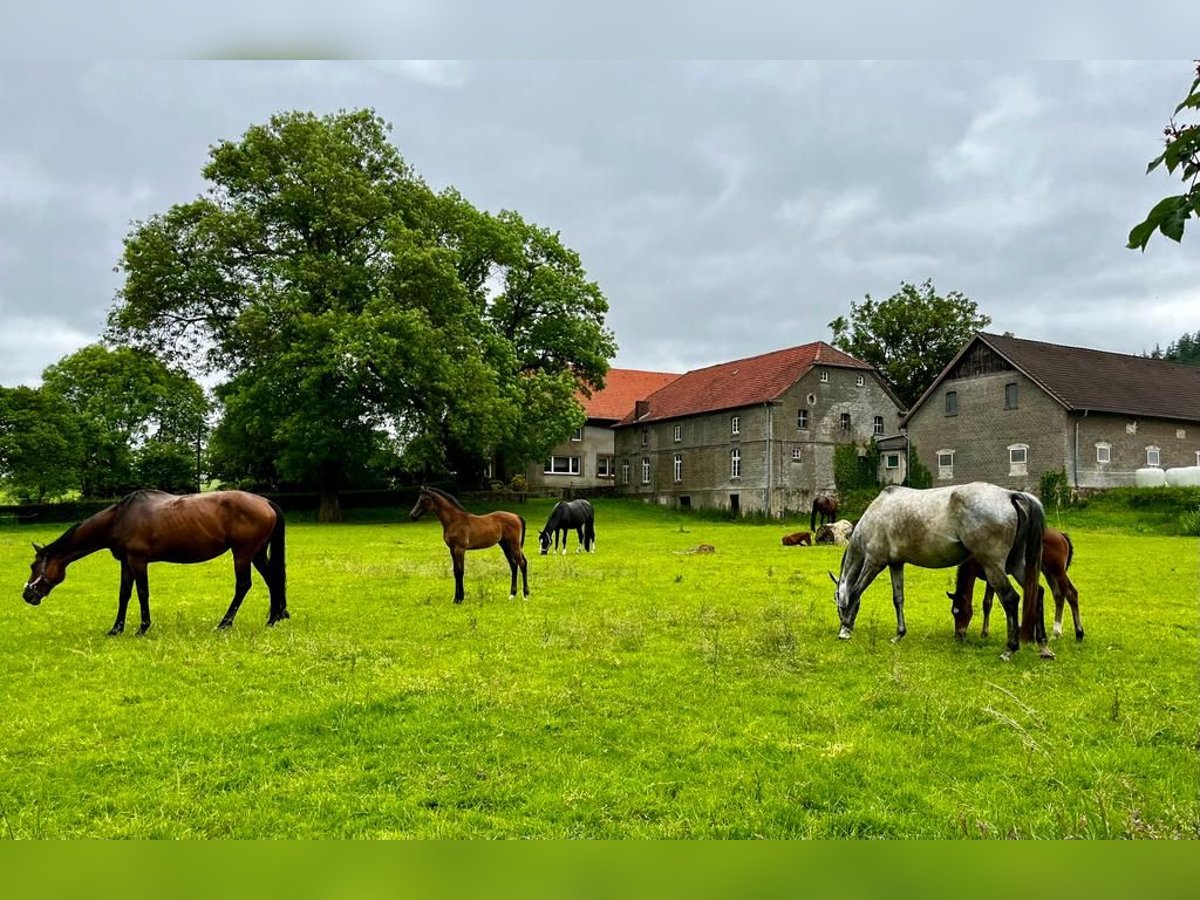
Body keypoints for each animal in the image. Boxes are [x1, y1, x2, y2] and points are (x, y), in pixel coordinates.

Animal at [22, 494, 288, 633]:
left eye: (34, 567)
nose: (27, 595)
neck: (119, 519)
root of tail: (266, 502)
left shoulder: (138, 561)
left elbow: (142, 592)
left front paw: (143, 627)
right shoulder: (126, 563)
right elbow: (124, 594)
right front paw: (116, 629)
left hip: (242, 554)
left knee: (243, 585)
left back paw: (224, 624)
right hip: (256, 553)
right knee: (273, 579)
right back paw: (273, 619)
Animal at [830, 487, 1046, 662]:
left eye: (837, 602)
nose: (842, 621)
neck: (876, 514)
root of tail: (1009, 495)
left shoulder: (874, 563)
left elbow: (856, 591)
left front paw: (845, 630)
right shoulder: (896, 564)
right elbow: (898, 599)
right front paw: (899, 634)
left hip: (993, 566)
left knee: (1010, 599)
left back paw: (1010, 650)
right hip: (1015, 565)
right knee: (1038, 593)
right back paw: (1043, 645)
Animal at [950, 525, 1084, 643]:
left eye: (961, 611)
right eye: (953, 612)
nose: (958, 635)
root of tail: (1061, 535)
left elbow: (987, 603)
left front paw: (984, 633)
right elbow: (988, 603)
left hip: (1057, 570)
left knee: (1071, 593)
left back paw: (1079, 633)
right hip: (1048, 571)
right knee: (1058, 596)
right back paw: (1056, 633)